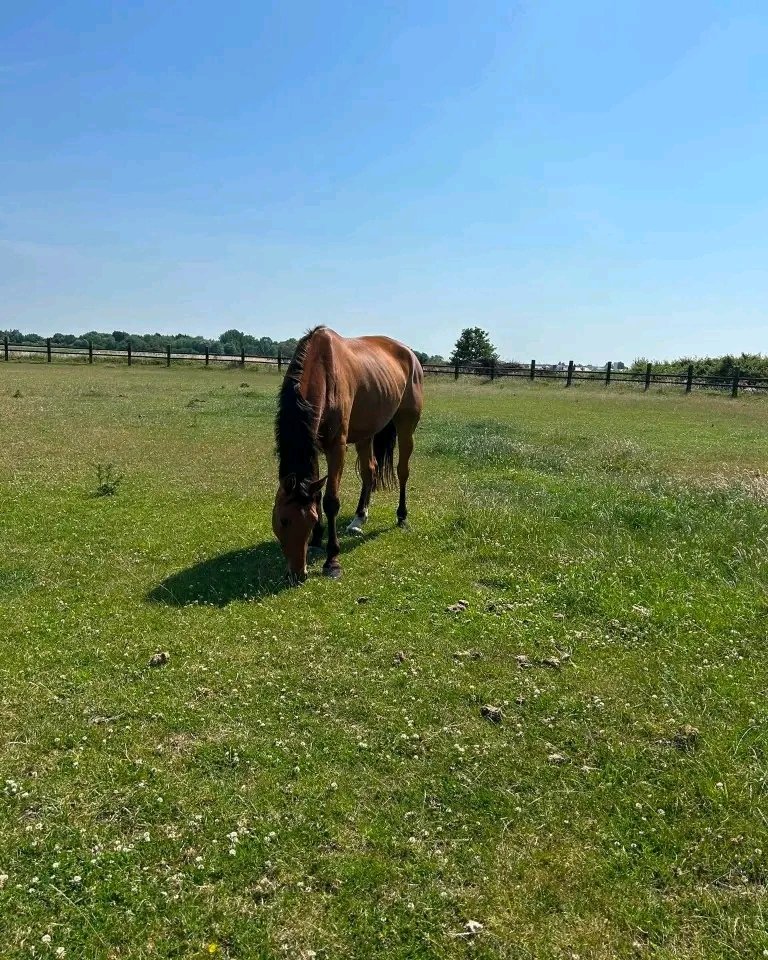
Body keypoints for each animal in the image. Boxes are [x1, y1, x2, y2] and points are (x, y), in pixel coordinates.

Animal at [273, 326, 423, 582]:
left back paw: (402, 516)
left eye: (308, 520)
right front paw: (317, 540)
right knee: (369, 471)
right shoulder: (315, 446)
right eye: (282, 520)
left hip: (406, 426)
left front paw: (332, 560)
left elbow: (331, 501)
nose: (298, 573)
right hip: (367, 432)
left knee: (403, 471)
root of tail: (411, 355)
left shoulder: (337, 447)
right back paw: (359, 518)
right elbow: (316, 493)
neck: (322, 368)